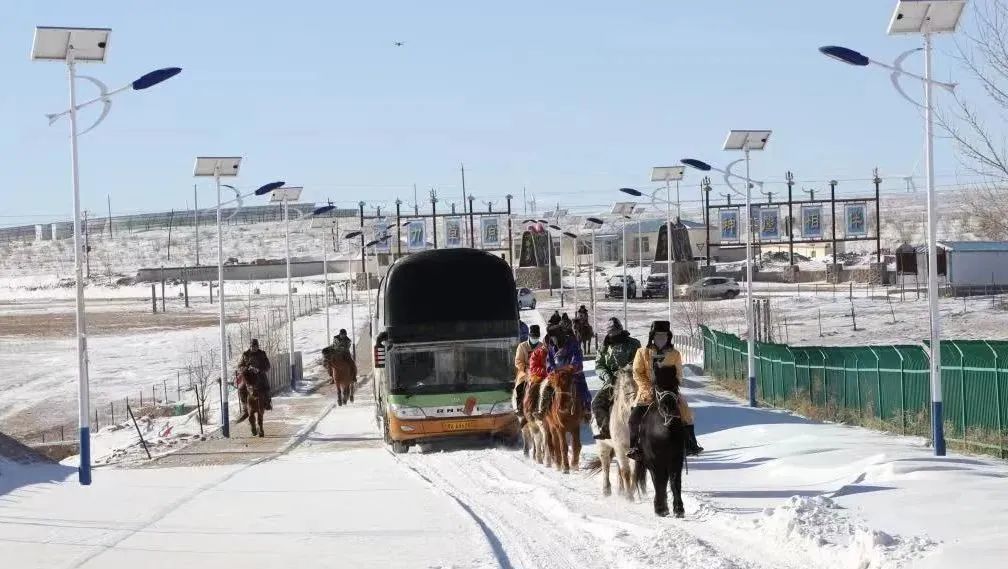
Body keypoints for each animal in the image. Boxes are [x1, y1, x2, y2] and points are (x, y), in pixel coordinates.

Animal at [584, 369, 637, 498]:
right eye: (624, 386)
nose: (634, 405)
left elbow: (633, 472)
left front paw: (631, 492)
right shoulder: (620, 447)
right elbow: (626, 472)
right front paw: (629, 497)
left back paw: (621, 490)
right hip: (603, 446)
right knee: (606, 466)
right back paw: (607, 490)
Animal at [633, 363, 689, 516]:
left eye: (675, 384)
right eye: (657, 385)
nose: (668, 407)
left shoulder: (676, 458)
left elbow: (675, 481)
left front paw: (679, 509)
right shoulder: (654, 460)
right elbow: (659, 481)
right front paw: (661, 508)